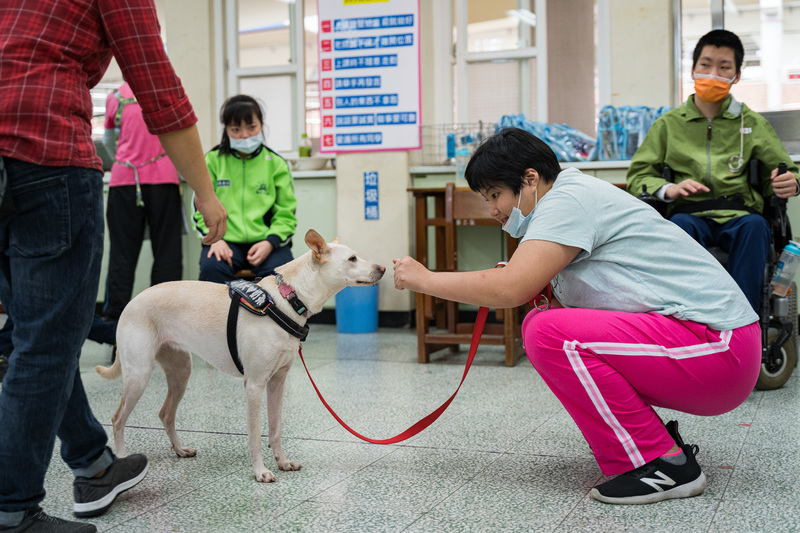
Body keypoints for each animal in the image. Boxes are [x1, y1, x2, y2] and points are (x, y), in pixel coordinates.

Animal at [97, 229, 384, 482]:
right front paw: (260, 471)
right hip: (138, 375)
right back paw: (123, 457)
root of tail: (132, 301)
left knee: (165, 414)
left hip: (180, 372)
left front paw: (282, 462)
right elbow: (255, 435)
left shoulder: (277, 382)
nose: (382, 268)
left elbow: (275, 429)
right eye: (352, 258)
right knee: (117, 419)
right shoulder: (254, 385)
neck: (285, 299)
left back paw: (179, 450)